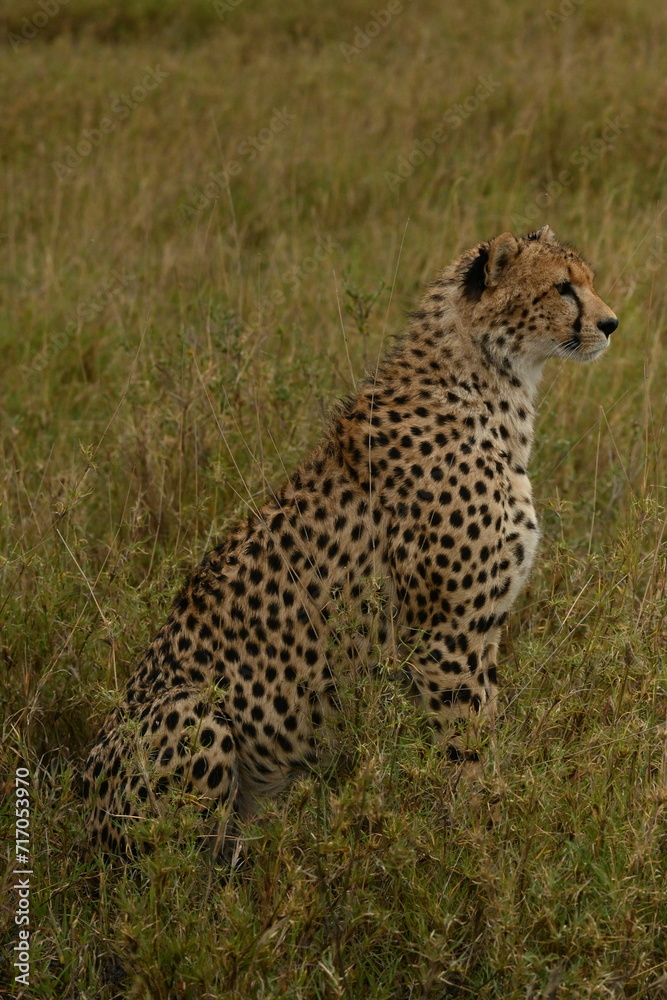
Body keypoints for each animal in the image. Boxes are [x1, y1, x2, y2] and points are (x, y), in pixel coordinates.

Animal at [83, 225, 618, 859]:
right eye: (562, 287)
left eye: (587, 280)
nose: (611, 323)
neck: (489, 384)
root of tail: (79, 801)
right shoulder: (444, 636)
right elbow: (464, 751)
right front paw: (474, 842)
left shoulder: (481, 632)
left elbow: (484, 734)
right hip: (195, 712)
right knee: (174, 866)